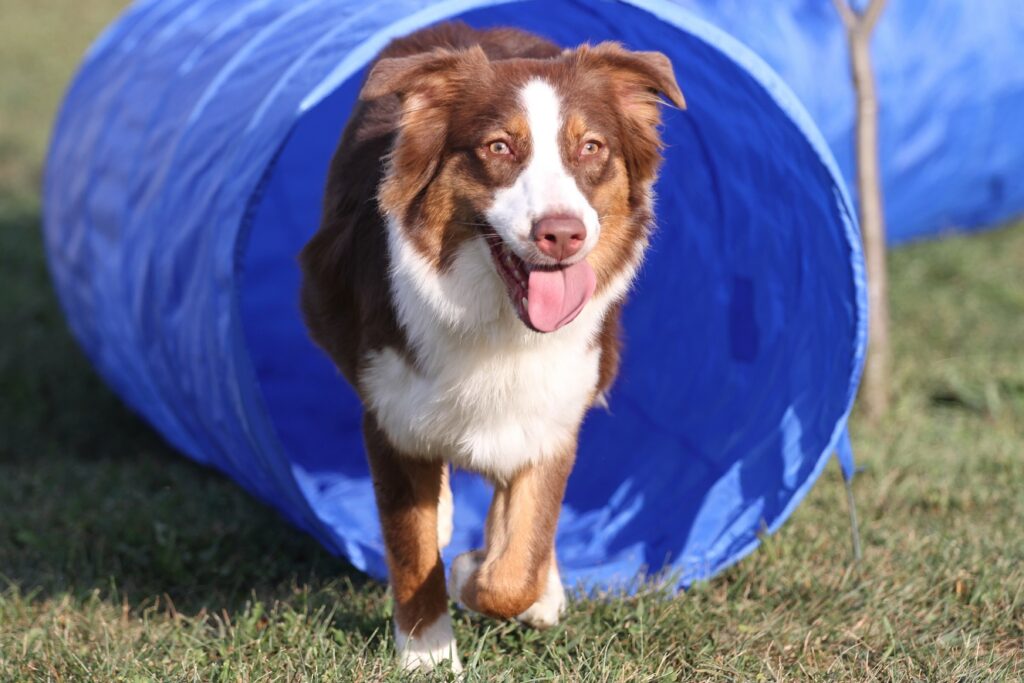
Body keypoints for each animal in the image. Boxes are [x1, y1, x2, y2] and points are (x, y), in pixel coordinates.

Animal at [299, 20, 684, 671]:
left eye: (592, 148)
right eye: (499, 147)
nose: (561, 234)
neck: (500, 322)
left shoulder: (555, 412)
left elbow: (517, 564)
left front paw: (501, 581)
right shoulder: (391, 414)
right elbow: (413, 550)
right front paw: (428, 657)